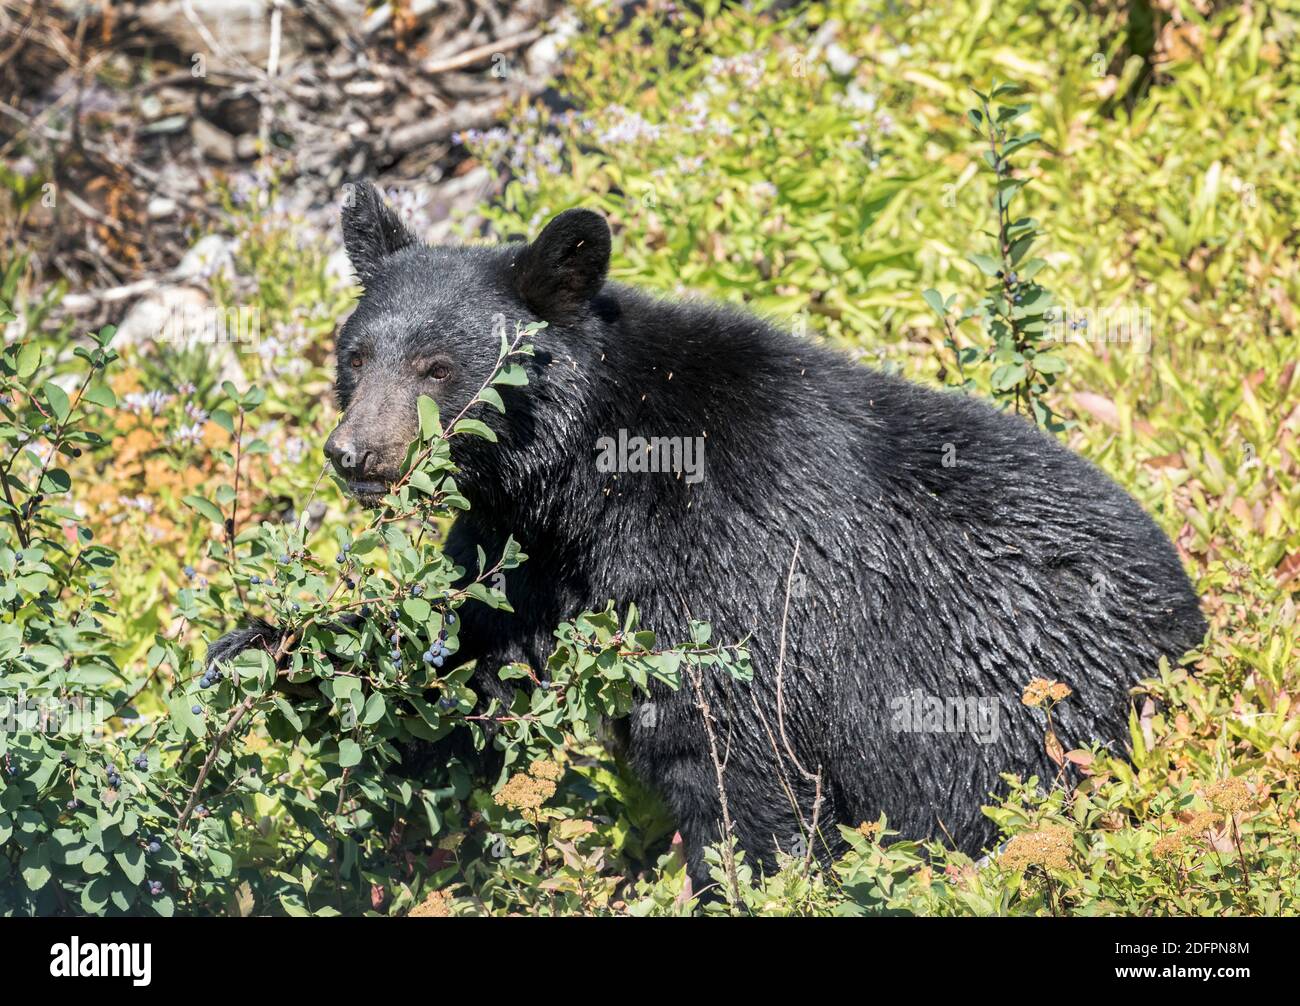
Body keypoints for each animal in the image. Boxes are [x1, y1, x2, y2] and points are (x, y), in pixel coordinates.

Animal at [211, 181, 1206, 886]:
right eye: (354, 355)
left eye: (437, 366)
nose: (354, 454)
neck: (592, 479)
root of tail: (1193, 638)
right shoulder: (527, 551)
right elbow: (460, 675)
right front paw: (261, 650)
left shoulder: (728, 568)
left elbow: (731, 749)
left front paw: (747, 879)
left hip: (1029, 712)